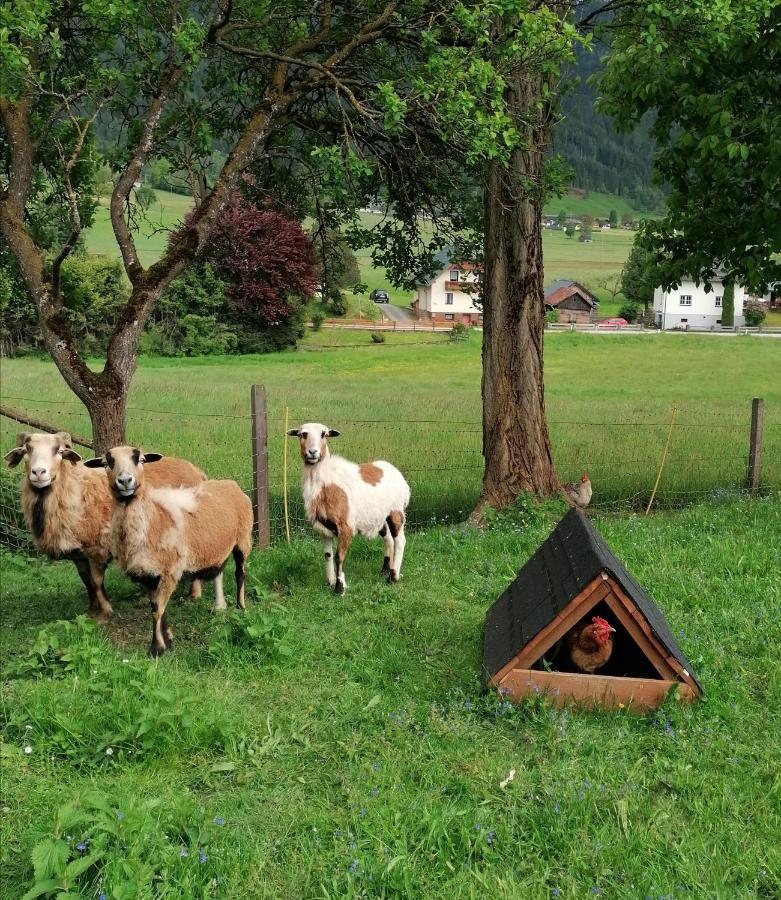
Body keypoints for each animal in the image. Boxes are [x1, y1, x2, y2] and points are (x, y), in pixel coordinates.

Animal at [3, 434, 207, 620]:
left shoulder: (96, 548)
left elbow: (96, 580)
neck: (74, 491)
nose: (39, 472)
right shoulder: (79, 555)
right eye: (26, 450)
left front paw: (106, 610)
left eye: (59, 451)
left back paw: (194, 594)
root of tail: (197, 471)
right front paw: (92, 609)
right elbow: (87, 581)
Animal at [85, 448, 256, 652]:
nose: (125, 481)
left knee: (240, 573)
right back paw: (219, 607)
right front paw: (167, 638)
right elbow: (156, 607)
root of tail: (231, 484)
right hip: (217, 546)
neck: (152, 521)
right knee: (219, 571)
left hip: (243, 539)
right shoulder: (148, 576)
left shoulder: (170, 571)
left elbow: (158, 609)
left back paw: (241, 607)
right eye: (106, 463)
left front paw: (156, 648)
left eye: (141, 460)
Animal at [284, 424, 408, 596]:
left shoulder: (345, 526)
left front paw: (339, 588)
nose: (313, 452)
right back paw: (385, 570)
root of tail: (397, 472)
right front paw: (329, 582)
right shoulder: (323, 528)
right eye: (302, 434)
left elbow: (339, 557)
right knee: (389, 539)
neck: (325, 481)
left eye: (324, 434)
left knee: (400, 541)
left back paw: (393, 577)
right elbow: (327, 555)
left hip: (396, 511)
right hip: (380, 516)